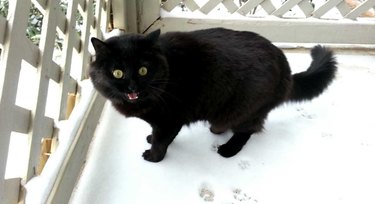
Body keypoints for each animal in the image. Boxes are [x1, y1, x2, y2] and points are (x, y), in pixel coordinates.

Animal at [89, 28, 338, 163]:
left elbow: (162, 141)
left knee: (248, 130)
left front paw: (153, 156)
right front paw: (150, 138)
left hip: (245, 109)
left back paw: (227, 149)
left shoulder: (170, 119)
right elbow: (158, 135)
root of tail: (286, 68)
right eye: (118, 73)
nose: (132, 87)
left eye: (143, 70)